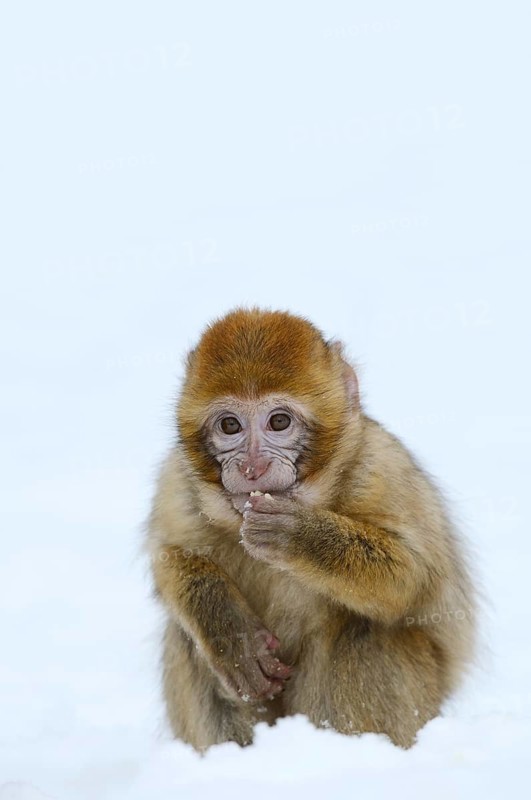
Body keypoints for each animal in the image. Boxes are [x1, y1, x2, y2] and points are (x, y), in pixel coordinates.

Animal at [147, 308, 476, 751]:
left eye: (279, 421)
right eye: (230, 425)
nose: (251, 467)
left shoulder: (381, 469)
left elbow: (412, 577)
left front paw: (299, 535)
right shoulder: (178, 479)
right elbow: (169, 554)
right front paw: (229, 631)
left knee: (365, 630)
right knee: (186, 636)